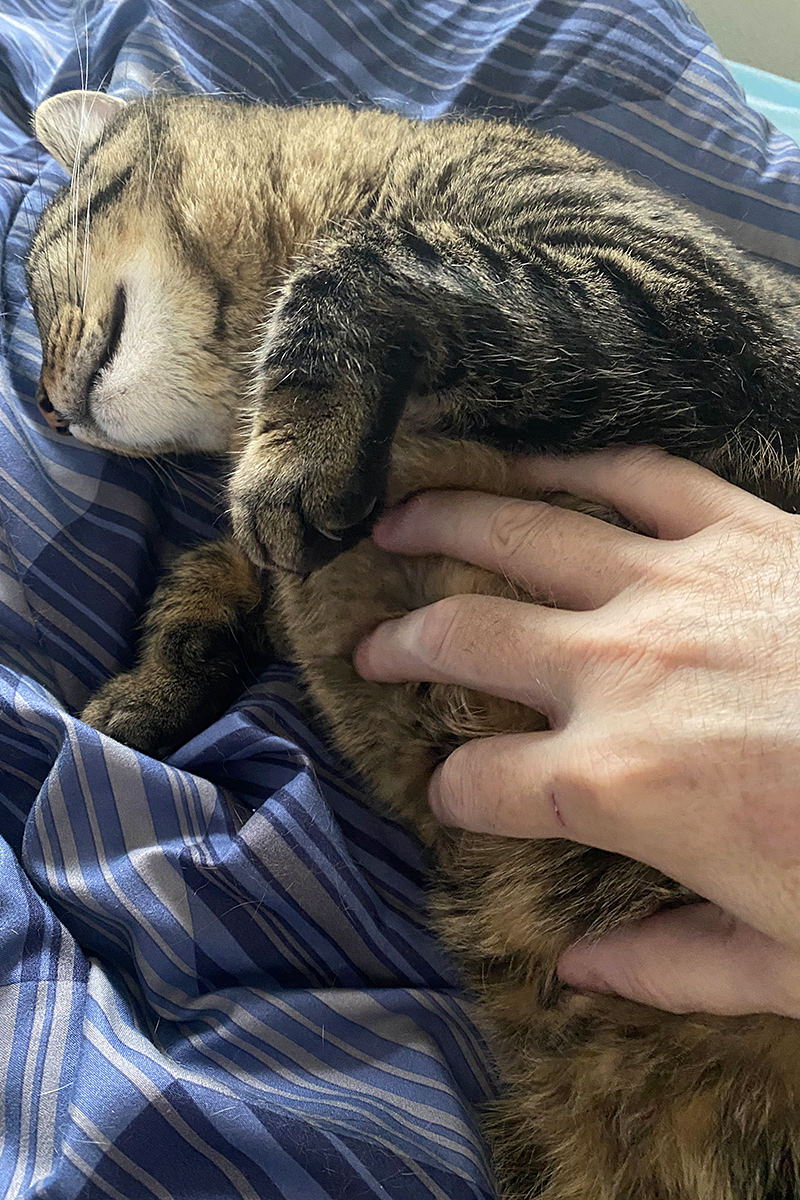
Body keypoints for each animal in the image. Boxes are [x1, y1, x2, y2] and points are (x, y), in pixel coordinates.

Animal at [25, 91, 800, 1200]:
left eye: (35, 285)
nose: (46, 412)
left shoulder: (688, 302)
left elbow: (362, 259)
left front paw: (295, 452)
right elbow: (213, 581)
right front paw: (148, 692)